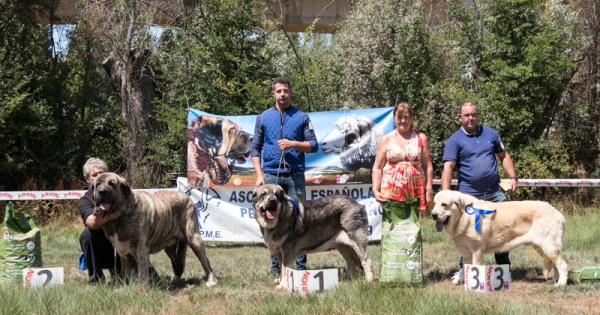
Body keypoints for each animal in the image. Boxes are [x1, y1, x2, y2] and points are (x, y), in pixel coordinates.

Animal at [432, 190, 568, 286]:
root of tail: (559, 214)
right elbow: (466, 268)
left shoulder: (477, 250)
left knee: (562, 265)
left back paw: (561, 284)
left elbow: (475, 268)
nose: (433, 215)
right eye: (434, 204)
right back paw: (554, 281)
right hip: (541, 248)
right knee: (555, 264)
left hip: (548, 246)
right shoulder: (466, 253)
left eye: (444, 205)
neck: (463, 216)